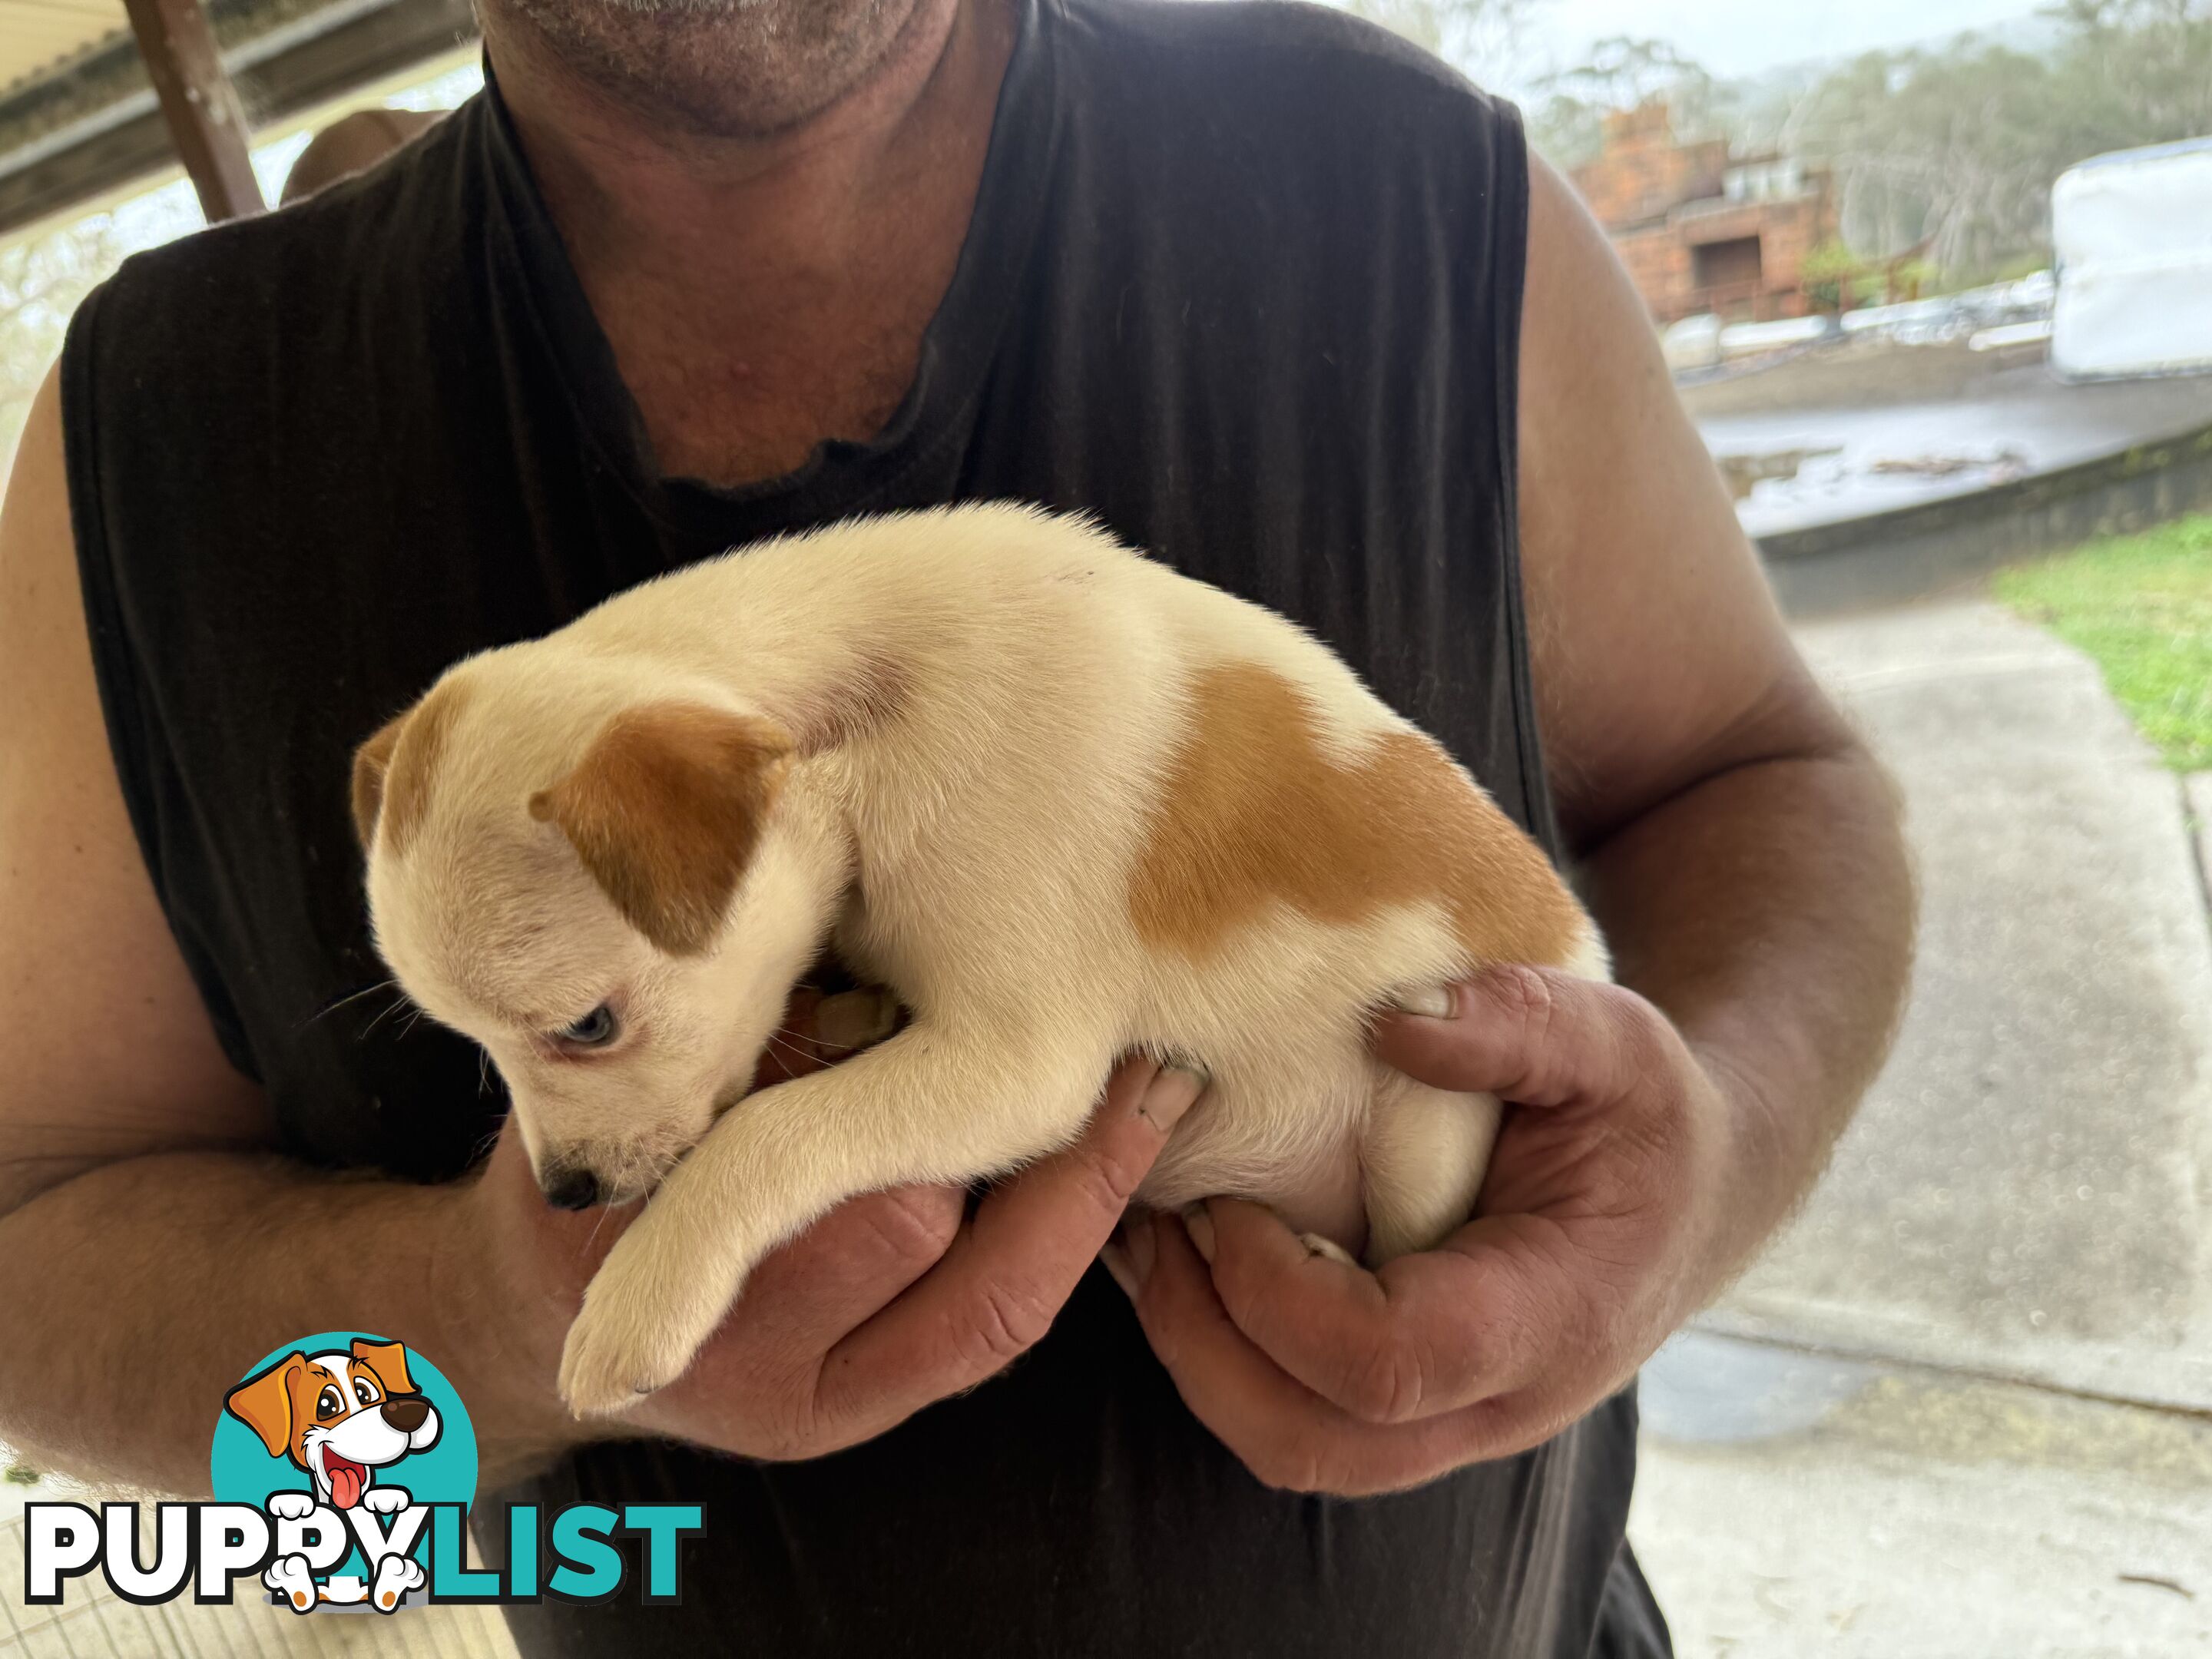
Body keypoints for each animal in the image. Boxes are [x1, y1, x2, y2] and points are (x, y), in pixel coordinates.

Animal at [349, 506, 1610, 1416]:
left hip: (1433, 1119)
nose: (562, 1196)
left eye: (589, 1027)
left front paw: (637, 1299)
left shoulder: (1019, 1063)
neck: (874, 712)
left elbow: (767, 1135)